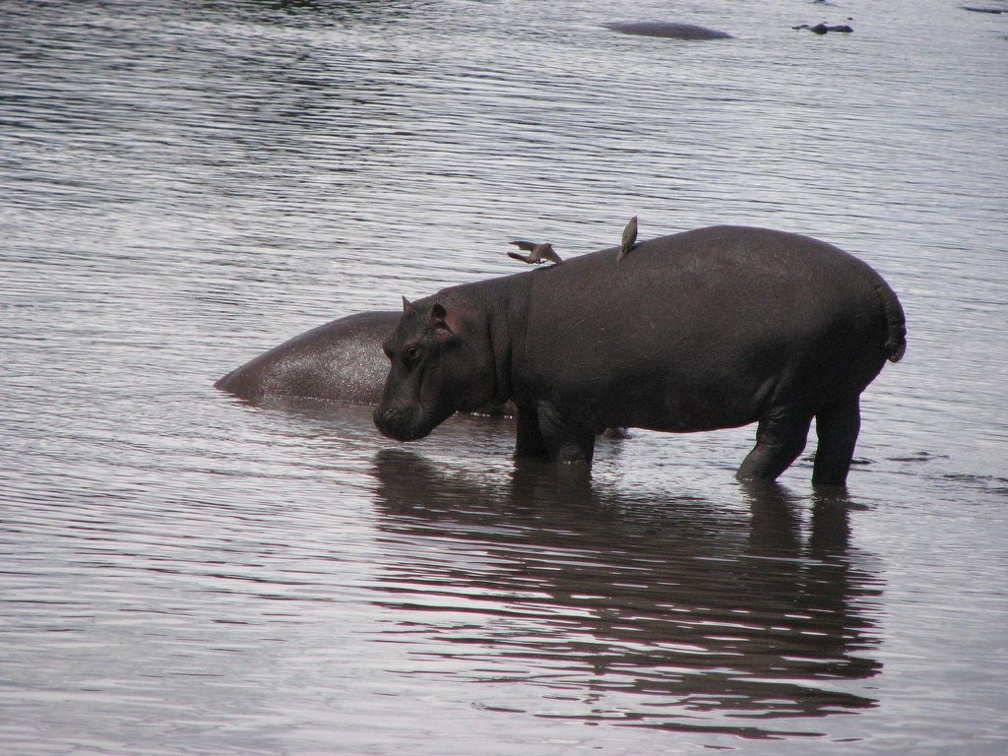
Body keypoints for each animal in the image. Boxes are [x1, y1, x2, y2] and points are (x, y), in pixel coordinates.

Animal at [376, 224, 907, 487]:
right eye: (386, 346)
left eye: (414, 351)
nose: (380, 418)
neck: (496, 321)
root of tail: (880, 288)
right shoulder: (531, 402)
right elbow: (526, 453)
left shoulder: (564, 410)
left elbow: (568, 456)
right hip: (841, 388)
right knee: (839, 441)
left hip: (794, 390)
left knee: (782, 442)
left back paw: (743, 476)